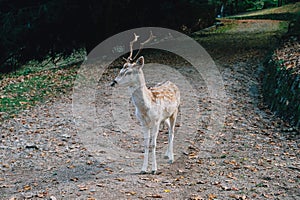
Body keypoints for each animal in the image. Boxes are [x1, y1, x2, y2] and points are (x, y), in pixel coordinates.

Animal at [110, 32, 179, 174]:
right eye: (120, 70)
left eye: (129, 71)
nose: (113, 82)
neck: (146, 107)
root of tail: (172, 83)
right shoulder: (143, 122)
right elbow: (146, 144)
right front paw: (143, 169)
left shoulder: (156, 121)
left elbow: (153, 144)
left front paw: (154, 169)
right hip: (166, 117)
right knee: (169, 131)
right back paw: (166, 155)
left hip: (175, 112)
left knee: (172, 132)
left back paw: (171, 158)